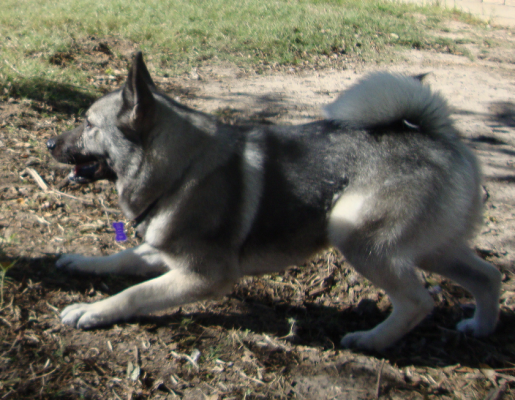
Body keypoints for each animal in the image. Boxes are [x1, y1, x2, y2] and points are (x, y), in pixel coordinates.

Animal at [46, 52, 502, 350]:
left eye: (88, 124)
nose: (49, 143)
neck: (182, 168)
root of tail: (436, 133)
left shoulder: (202, 276)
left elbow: (134, 294)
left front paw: (91, 310)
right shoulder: (162, 253)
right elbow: (119, 259)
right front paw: (81, 263)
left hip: (356, 235)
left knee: (419, 301)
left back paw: (370, 341)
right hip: (433, 248)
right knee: (488, 276)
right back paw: (481, 326)